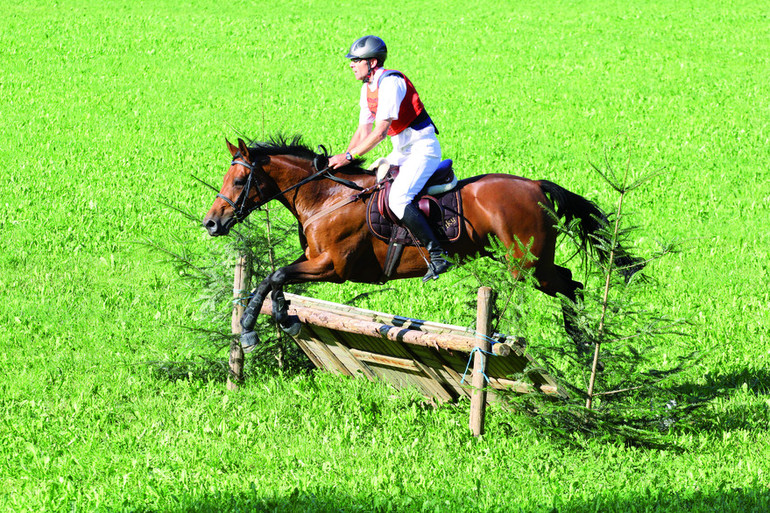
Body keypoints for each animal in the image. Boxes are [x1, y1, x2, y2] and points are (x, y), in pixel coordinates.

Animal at [201, 134, 640, 354]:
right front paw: (283, 317)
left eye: (239, 181)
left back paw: (583, 343)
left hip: (527, 264)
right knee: (570, 282)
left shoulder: (334, 267)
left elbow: (273, 276)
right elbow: (275, 280)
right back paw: (584, 343)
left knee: (570, 285)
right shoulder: (312, 259)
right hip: (532, 264)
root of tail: (536, 186)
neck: (325, 197)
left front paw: (249, 330)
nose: (211, 223)